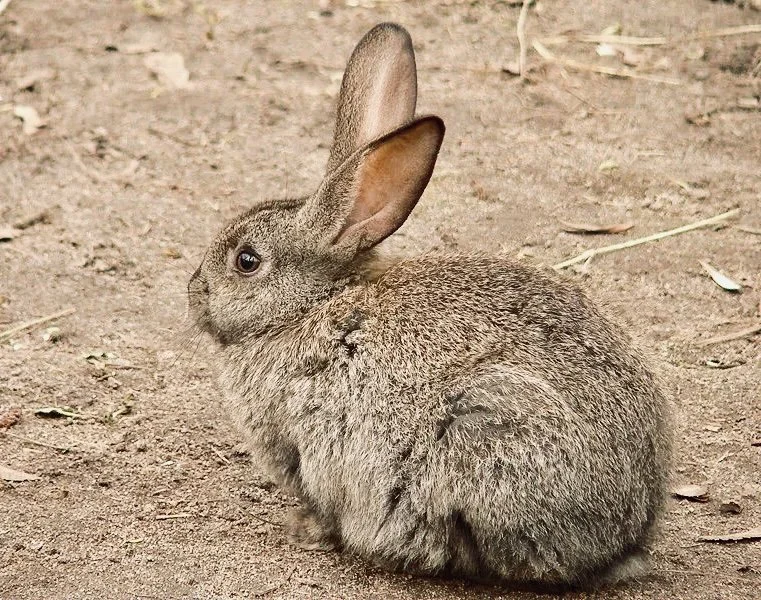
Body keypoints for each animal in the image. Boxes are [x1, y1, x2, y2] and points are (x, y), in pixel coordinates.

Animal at [187, 23, 671, 588]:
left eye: (247, 261)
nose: (194, 293)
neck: (313, 305)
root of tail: (626, 536)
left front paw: (303, 529)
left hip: (479, 440)